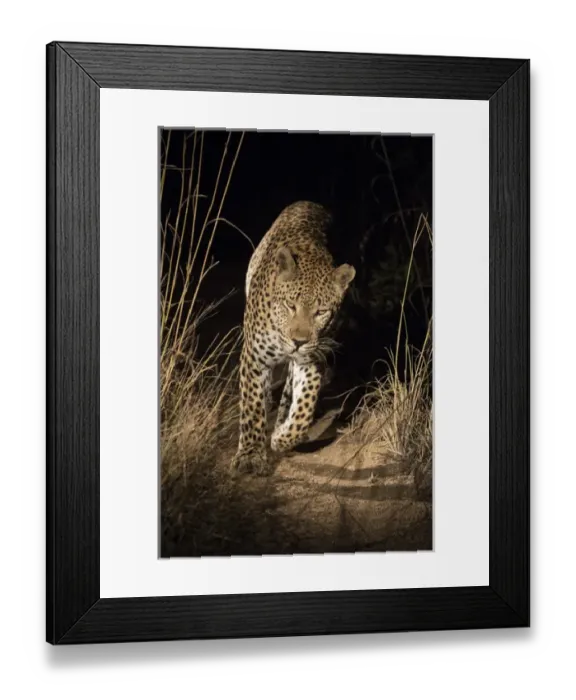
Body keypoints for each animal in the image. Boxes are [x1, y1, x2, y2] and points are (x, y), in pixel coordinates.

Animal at [231, 200, 356, 474]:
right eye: (290, 305)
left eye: (321, 312)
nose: (298, 341)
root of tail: (312, 203)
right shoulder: (254, 357)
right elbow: (252, 405)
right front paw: (251, 455)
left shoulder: (312, 359)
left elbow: (304, 408)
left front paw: (282, 438)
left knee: (289, 392)